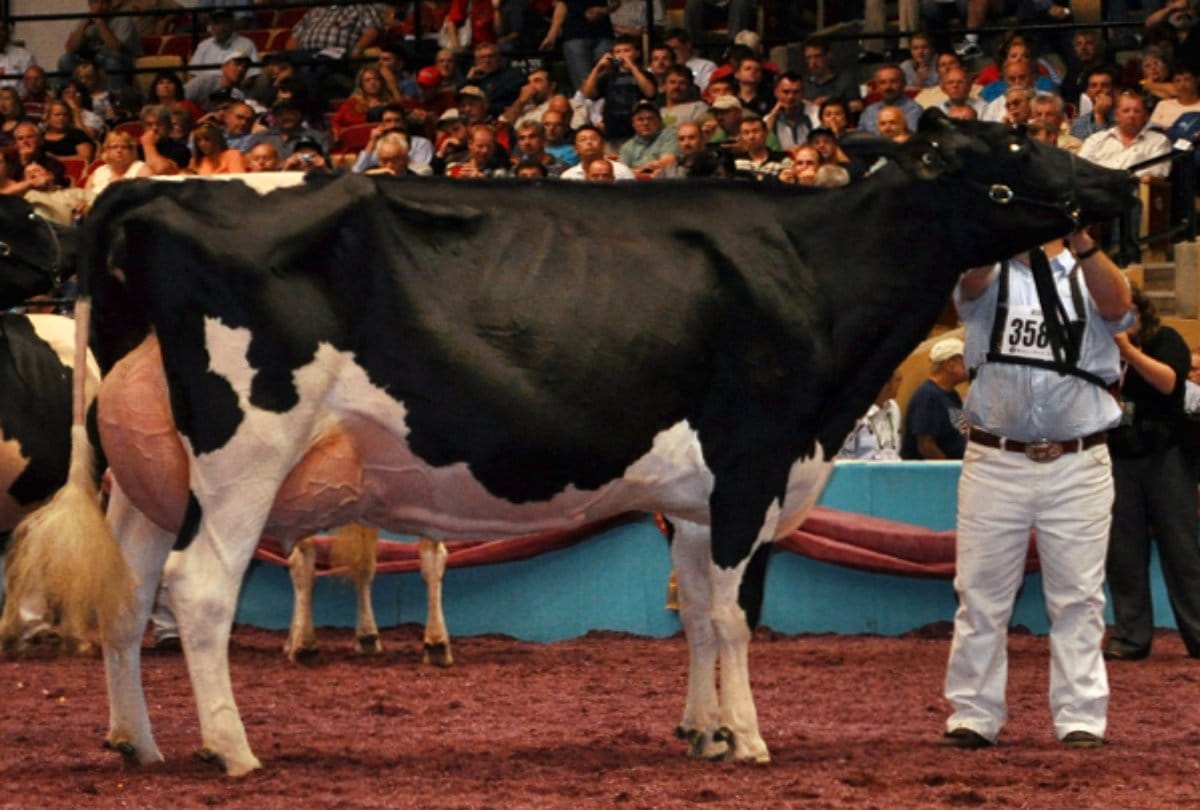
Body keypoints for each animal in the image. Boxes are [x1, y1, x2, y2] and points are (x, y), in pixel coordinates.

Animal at [0, 111, 1135, 776]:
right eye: (1013, 151)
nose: (1116, 191)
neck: (816, 272)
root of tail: (156, 187)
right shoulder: (752, 464)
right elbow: (733, 617)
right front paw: (748, 738)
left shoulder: (693, 496)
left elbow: (697, 614)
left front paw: (702, 730)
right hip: (244, 451)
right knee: (197, 589)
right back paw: (233, 751)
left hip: (148, 472)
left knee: (126, 596)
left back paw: (139, 744)